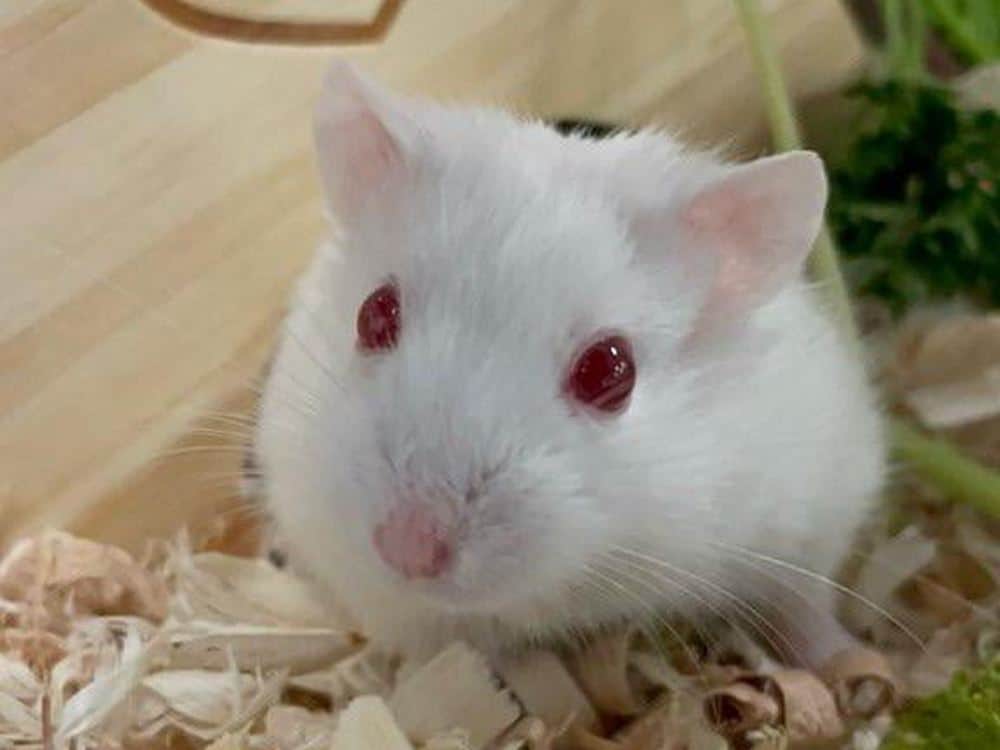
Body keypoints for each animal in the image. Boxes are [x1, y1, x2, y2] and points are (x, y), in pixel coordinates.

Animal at [252, 62, 886, 664]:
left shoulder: (813, 515)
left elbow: (804, 603)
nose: (408, 549)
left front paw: (848, 664)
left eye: (610, 371)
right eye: (373, 314)